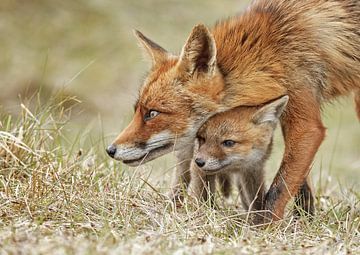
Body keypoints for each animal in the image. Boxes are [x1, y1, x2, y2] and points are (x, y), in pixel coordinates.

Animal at [107, 0, 360, 222]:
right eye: (137, 110)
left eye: (152, 113)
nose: (110, 150)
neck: (272, 52)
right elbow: (300, 184)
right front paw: (303, 221)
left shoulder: (305, 120)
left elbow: (278, 191)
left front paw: (265, 230)